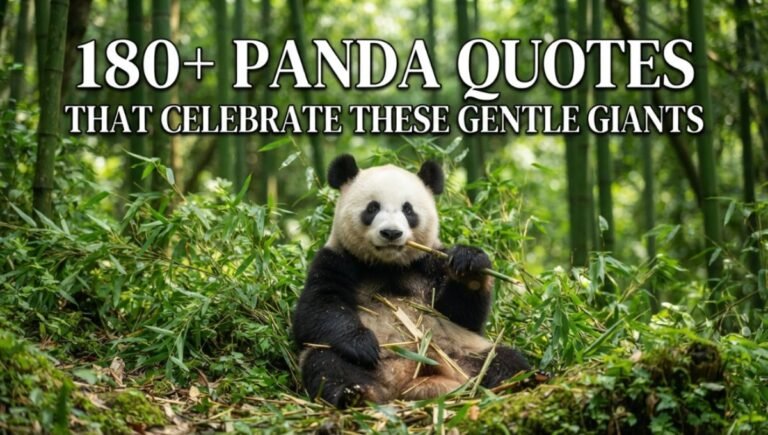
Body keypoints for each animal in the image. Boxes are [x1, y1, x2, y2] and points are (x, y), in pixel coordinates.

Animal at [292, 154, 531, 408]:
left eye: (408, 209)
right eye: (372, 207)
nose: (391, 233)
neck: (388, 265)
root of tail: (408, 379)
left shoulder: (431, 262)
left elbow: (463, 316)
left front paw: (470, 263)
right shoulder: (336, 260)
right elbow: (317, 309)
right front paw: (362, 343)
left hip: (463, 354)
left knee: (504, 360)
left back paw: (521, 382)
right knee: (326, 363)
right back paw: (355, 395)